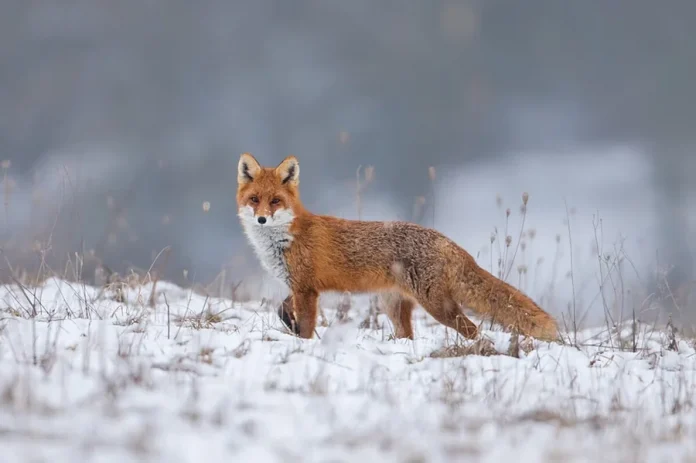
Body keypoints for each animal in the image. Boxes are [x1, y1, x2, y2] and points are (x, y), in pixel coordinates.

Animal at [235, 154, 560, 342]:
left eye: (275, 201)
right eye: (255, 200)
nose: (262, 218)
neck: (284, 239)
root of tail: (448, 241)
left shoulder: (307, 290)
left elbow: (304, 326)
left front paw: (301, 341)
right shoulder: (299, 286)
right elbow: (281, 307)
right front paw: (287, 322)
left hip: (437, 307)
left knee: (473, 329)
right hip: (394, 305)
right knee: (409, 336)